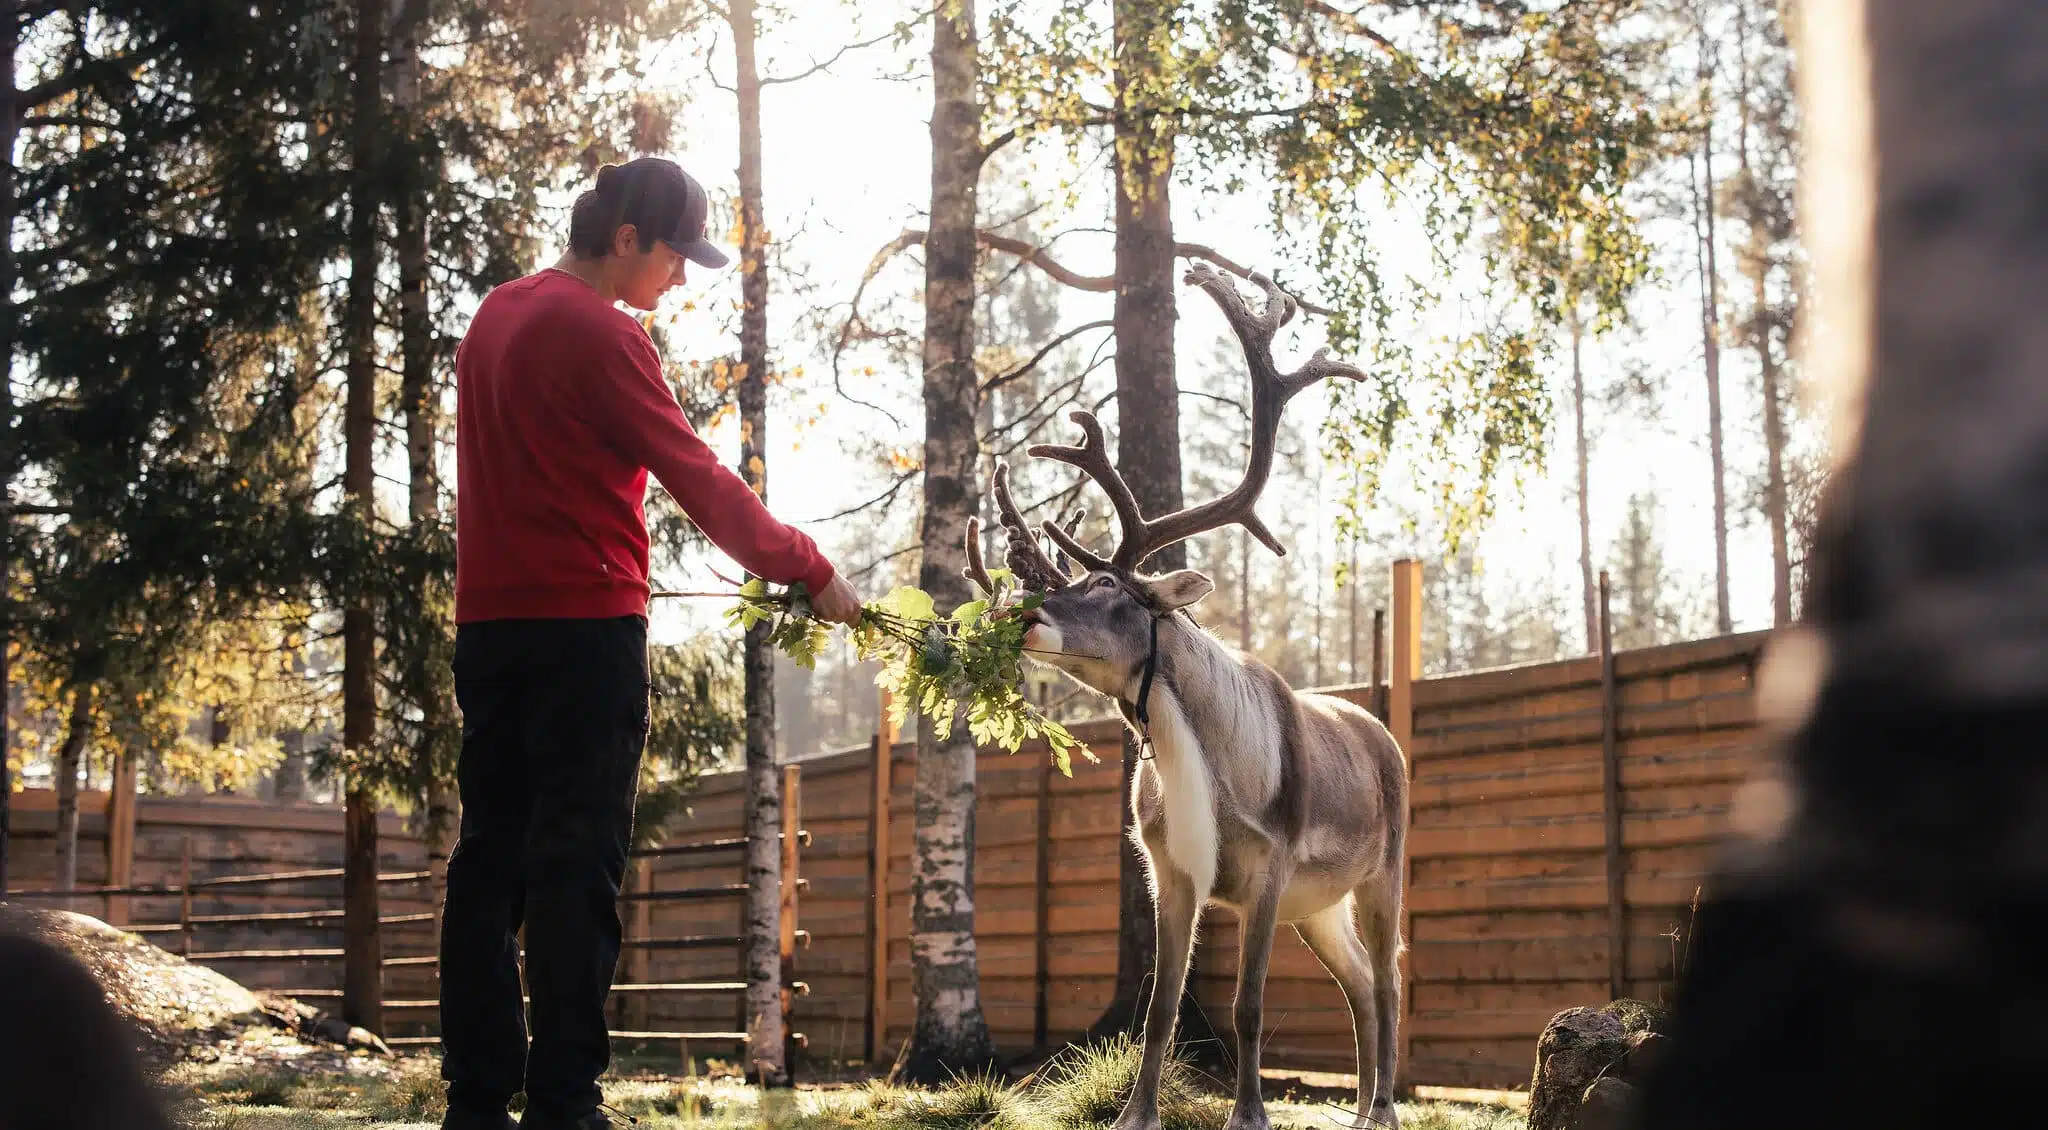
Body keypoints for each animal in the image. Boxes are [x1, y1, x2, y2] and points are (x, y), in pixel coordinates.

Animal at [963, 262, 1409, 1130]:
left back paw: (1383, 1110)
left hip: (1382, 872)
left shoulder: (1272, 867)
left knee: (1391, 978)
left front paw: (1250, 1115)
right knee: (1360, 985)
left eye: (1107, 584)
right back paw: (1362, 1107)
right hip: (1320, 905)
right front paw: (1135, 1115)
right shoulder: (1168, 870)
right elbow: (1159, 1008)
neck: (1205, 762)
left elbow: (1248, 1005)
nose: (1020, 614)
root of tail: (1382, 735)